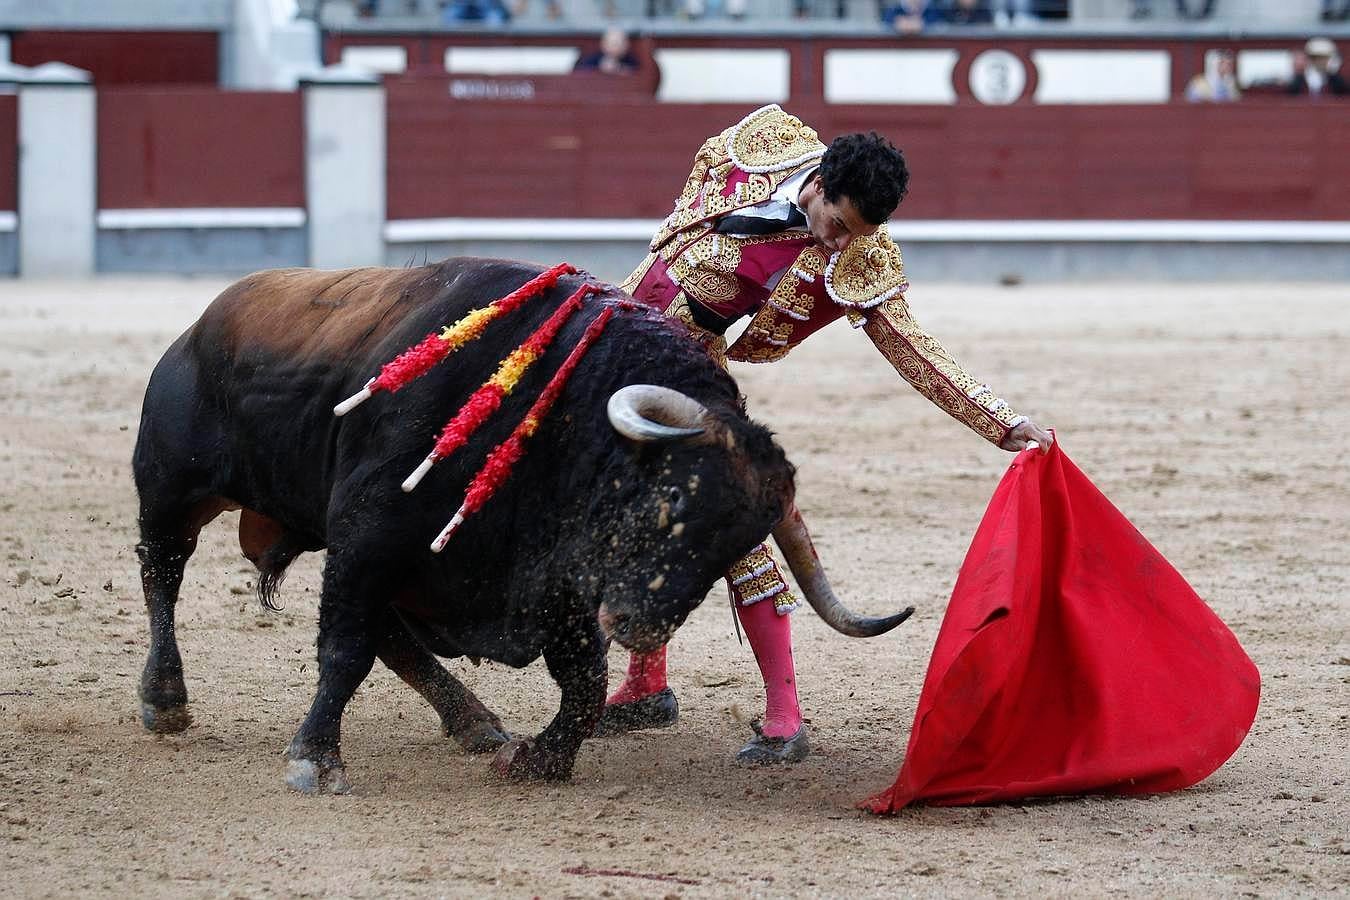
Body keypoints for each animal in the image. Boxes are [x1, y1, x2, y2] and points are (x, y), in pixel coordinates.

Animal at [131, 256, 912, 793]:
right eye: (672, 498)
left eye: (735, 546)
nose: (641, 624)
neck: (560, 418)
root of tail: (199, 326)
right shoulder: (365, 536)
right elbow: (344, 652)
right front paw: (316, 762)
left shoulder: (556, 582)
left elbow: (586, 680)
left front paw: (538, 757)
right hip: (170, 488)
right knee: (162, 571)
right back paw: (164, 701)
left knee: (394, 635)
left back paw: (475, 722)